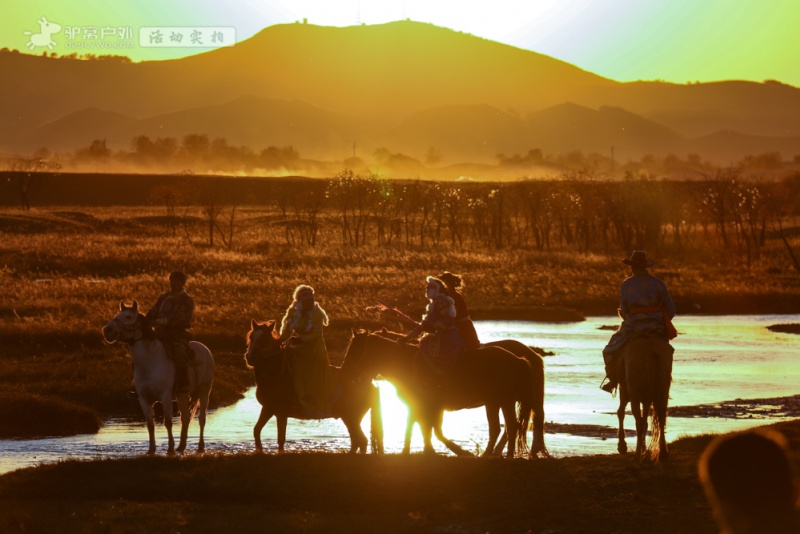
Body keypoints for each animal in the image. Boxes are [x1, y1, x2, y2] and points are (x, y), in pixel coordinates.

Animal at [103, 302, 216, 456]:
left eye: (128, 317)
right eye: (116, 315)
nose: (107, 330)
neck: (150, 362)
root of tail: (204, 348)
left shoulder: (165, 396)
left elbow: (168, 422)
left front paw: (170, 450)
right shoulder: (144, 399)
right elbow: (150, 424)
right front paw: (151, 450)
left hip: (204, 391)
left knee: (201, 418)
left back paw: (200, 448)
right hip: (182, 396)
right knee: (185, 417)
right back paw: (181, 447)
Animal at [244, 322, 384, 456]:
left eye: (264, 339)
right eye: (251, 337)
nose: (249, 357)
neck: (277, 373)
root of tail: (371, 384)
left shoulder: (281, 412)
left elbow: (281, 439)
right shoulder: (268, 409)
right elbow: (256, 430)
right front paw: (259, 450)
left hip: (351, 418)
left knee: (361, 440)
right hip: (351, 418)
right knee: (357, 441)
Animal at [344, 330, 536, 460]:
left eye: (355, 350)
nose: (346, 371)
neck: (406, 364)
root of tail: (518, 359)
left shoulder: (429, 406)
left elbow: (429, 429)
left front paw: (456, 451)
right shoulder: (420, 406)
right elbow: (422, 427)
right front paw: (414, 451)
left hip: (502, 401)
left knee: (507, 427)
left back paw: (500, 455)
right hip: (498, 402)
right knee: (504, 427)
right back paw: (497, 454)